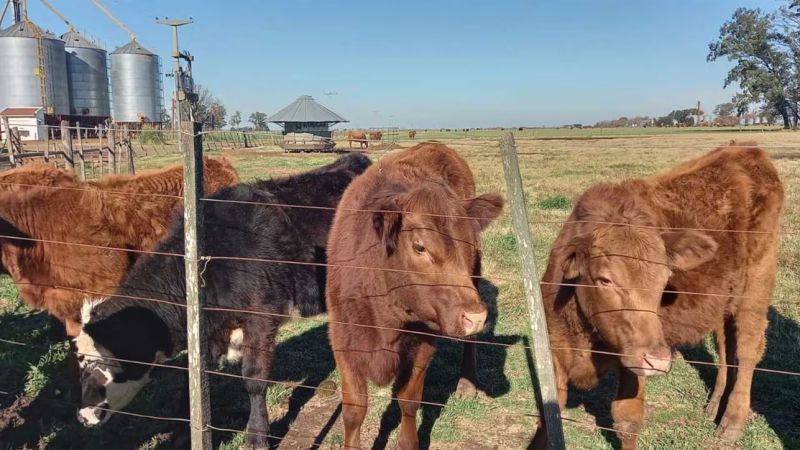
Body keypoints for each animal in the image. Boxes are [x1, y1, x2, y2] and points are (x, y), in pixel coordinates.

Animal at [75, 154, 371, 450]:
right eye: (79, 362)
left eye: (102, 362)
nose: (82, 416)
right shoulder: (204, 332)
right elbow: (191, 379)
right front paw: (184, 434)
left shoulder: (260, 319)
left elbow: (254, 378)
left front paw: (257, 437)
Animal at [326, 143, 503, 449]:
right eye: (420, 246)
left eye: (469, 242)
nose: (476, 317)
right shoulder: (343, 337)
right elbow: (354, 409)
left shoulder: (424, 341)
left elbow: (408, 401)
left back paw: (467, 384)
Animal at [531, 143, 783, 449]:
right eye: (604, 279)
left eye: (664, 280)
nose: (659, 360)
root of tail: (746, 150)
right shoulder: (555, 350)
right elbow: (548, 418)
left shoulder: (633, 363)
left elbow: (627, 421)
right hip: (725, 297)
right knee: (726, 343)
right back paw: (714, 405)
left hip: (757, 286)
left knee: (747, 349)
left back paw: (732, 422)